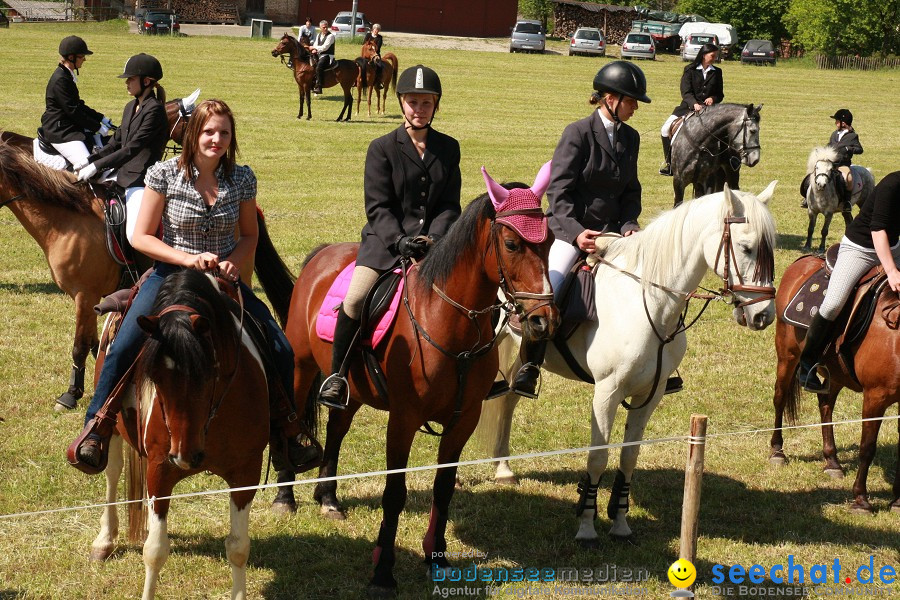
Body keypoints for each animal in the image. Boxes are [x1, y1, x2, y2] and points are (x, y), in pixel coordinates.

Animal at [270, 162, 560, 596]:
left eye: (551, 241)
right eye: (511, 244)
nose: (544, 320)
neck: (448, 322)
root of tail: (325, 253)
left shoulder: (463, 420)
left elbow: (444, 487)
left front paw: (436, 557)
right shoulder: (403, 420)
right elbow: (395, 492)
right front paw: (383, 571)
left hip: (352, 388)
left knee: (337, 428)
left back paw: (328, 498)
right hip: (303, 367)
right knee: (295, 421)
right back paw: (285, 497)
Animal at [474, 185, 776, 548]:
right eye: (745, 247)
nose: (764, 316)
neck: (647, 300)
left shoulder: (650, 394)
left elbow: (629, 457)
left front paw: (619, 522)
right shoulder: (607, 393)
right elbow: (598, 456)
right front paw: (587, 526)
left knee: (508, 399)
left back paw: (504, 468)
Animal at [768, 255, 900, 512]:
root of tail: (806, 260)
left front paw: (898, 501)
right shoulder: (875, 397)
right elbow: (867, 447)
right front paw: (860, 499)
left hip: (836, 372)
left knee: (825, 404)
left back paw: (832, 461)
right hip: (787, 356)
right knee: (779, 398)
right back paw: (777, 451)